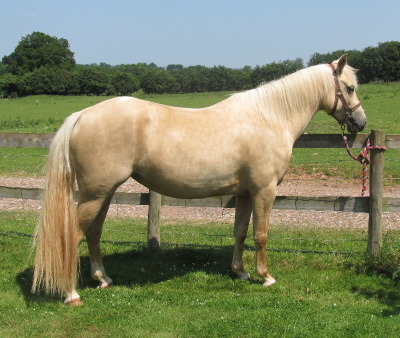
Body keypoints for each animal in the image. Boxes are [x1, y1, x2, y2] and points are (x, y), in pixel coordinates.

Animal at [32, 54, 368, 304]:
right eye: (350, 88)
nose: (360, 122)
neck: (268, 118)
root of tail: (82, 115)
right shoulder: (264, 191)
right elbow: (260, 235)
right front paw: (266, 277)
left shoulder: (245, 193)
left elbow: (240, 233)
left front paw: (240, 272)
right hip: (95, 195)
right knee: (73, 236)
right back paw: (71, 293)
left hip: (103, 193)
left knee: (93, 233)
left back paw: (103, 279)